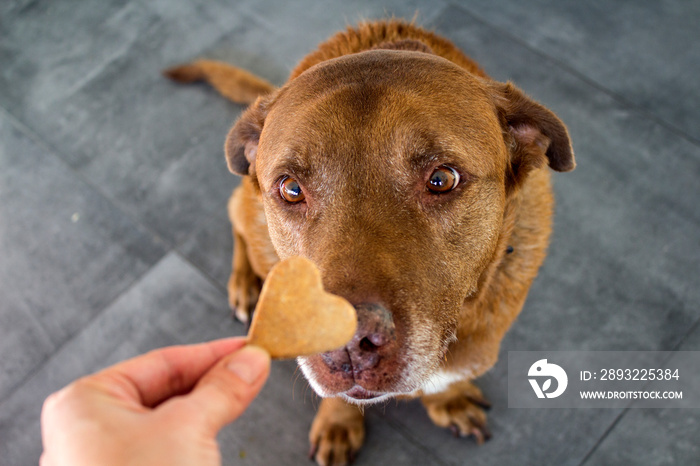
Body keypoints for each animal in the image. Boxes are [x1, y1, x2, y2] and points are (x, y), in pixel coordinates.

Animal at [165, 20, 576, 466]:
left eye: (442, 178)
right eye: (291, 188)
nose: (346, 345)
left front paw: (447, 400)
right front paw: (338, 422)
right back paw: (245, 284)